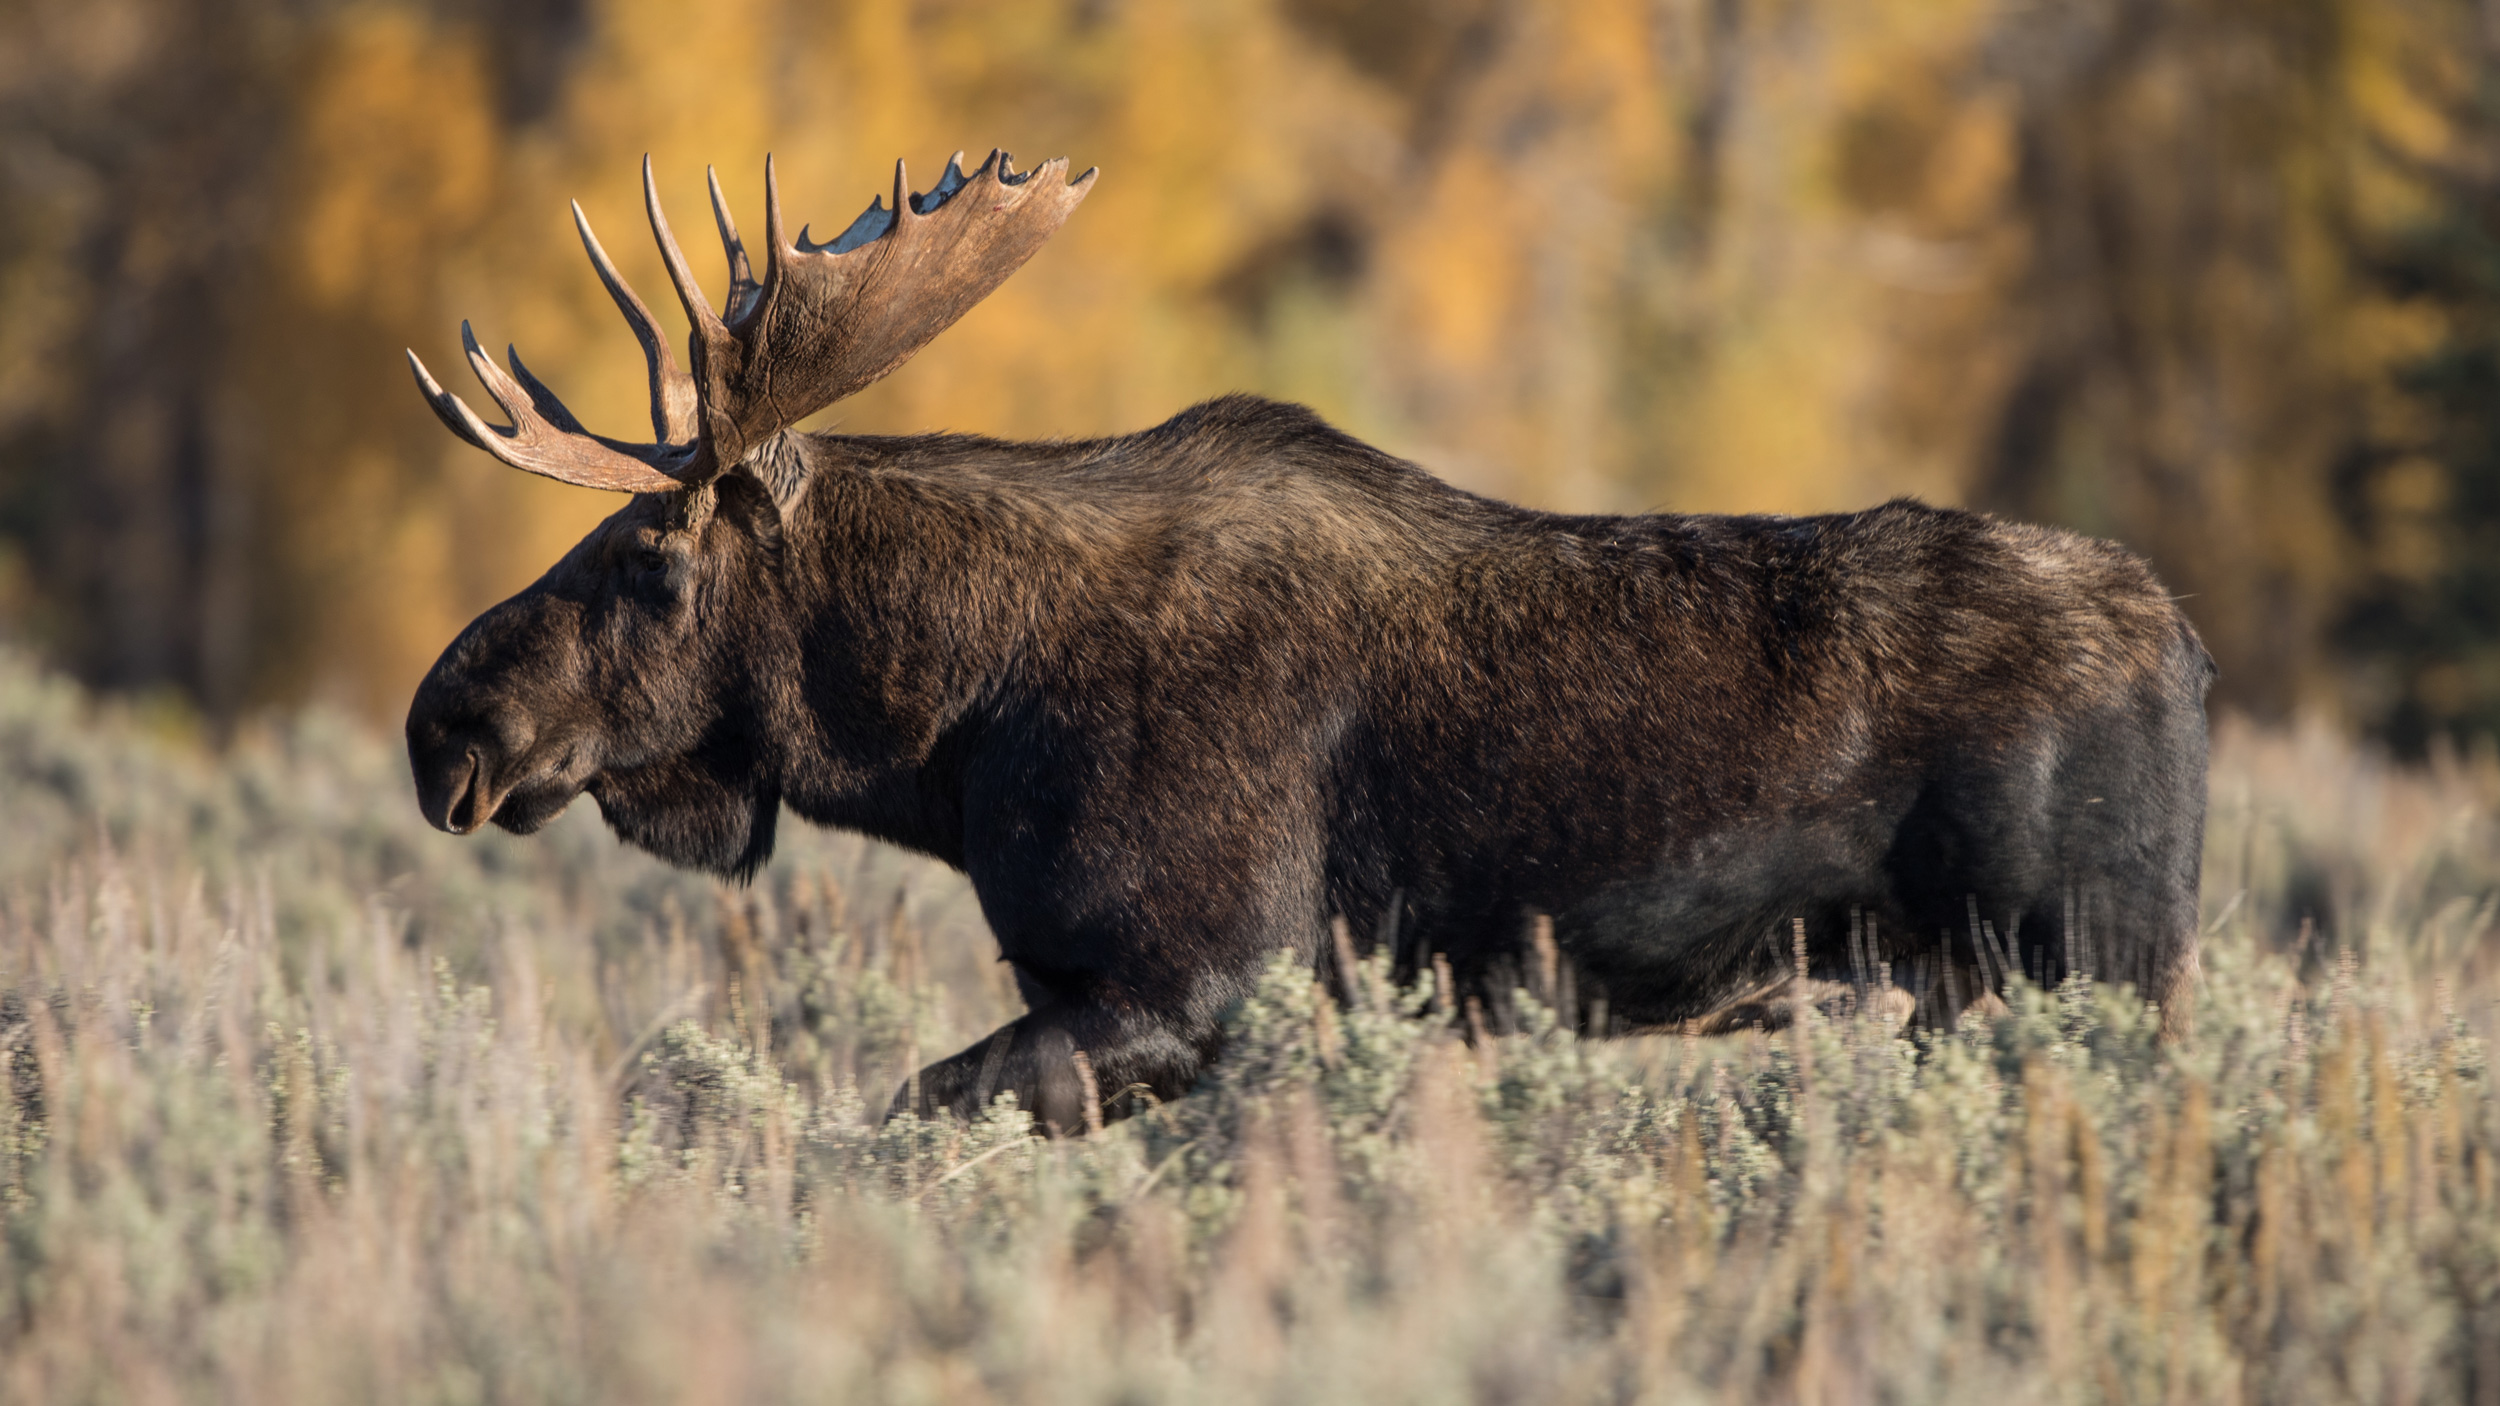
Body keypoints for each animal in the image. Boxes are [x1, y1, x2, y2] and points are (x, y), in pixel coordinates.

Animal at [405, 149, 2213, 1134]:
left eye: (648, 554)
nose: (445, 725)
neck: (952, 731)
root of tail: (2188, 642)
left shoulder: (1199, 976)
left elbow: (903, 1113)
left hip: (2092, 962)